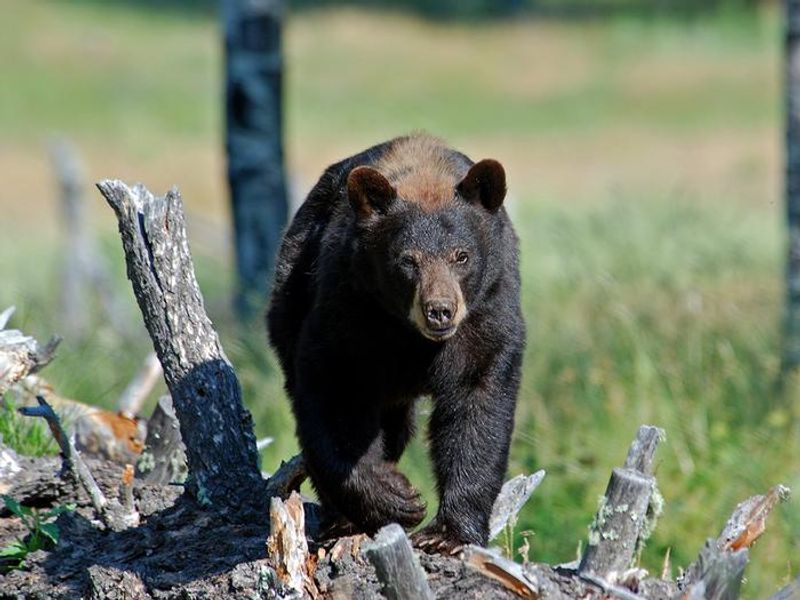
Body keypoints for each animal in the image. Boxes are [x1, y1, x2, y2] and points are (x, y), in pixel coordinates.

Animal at [267, 133, 525, 552]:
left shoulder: (488, 309)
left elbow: (478, 404)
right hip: (290, 295)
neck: (410, 335)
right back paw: (342, 519)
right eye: (408, 260)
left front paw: (449, 533)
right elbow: (334, 391)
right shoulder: (351, 304)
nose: (440, 310)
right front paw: (396, 497)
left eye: (462, 256)